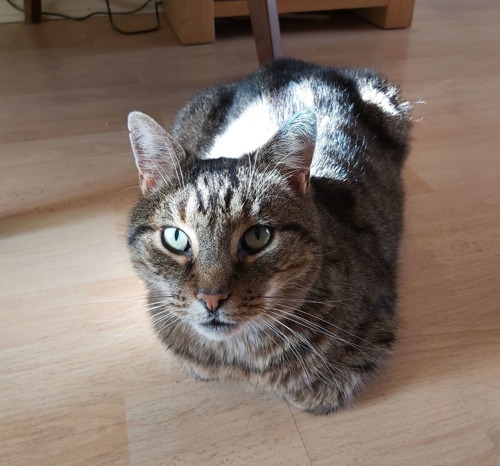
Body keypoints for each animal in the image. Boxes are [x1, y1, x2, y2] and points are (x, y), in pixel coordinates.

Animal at [126, 58, 410, 416]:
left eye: (257, 237)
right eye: (175, 238)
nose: (211, 299)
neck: (238, 360)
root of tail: (291, 63)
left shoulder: (375, 330)